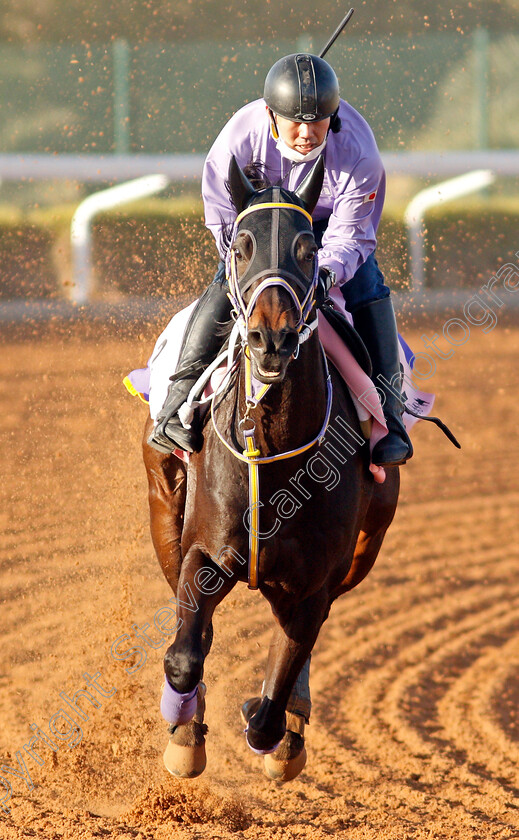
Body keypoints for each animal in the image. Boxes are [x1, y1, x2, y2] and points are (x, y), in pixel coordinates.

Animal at [140, 156, 400, 780]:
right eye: (242, 248)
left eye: (308, 249)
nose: (272, 336)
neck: (272, 450)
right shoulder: (203, 550)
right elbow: (183, 657)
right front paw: (184, 734)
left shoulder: (316, 584)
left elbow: (274, 698)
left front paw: (277, 729)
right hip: (164, 507)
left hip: (365, 548)